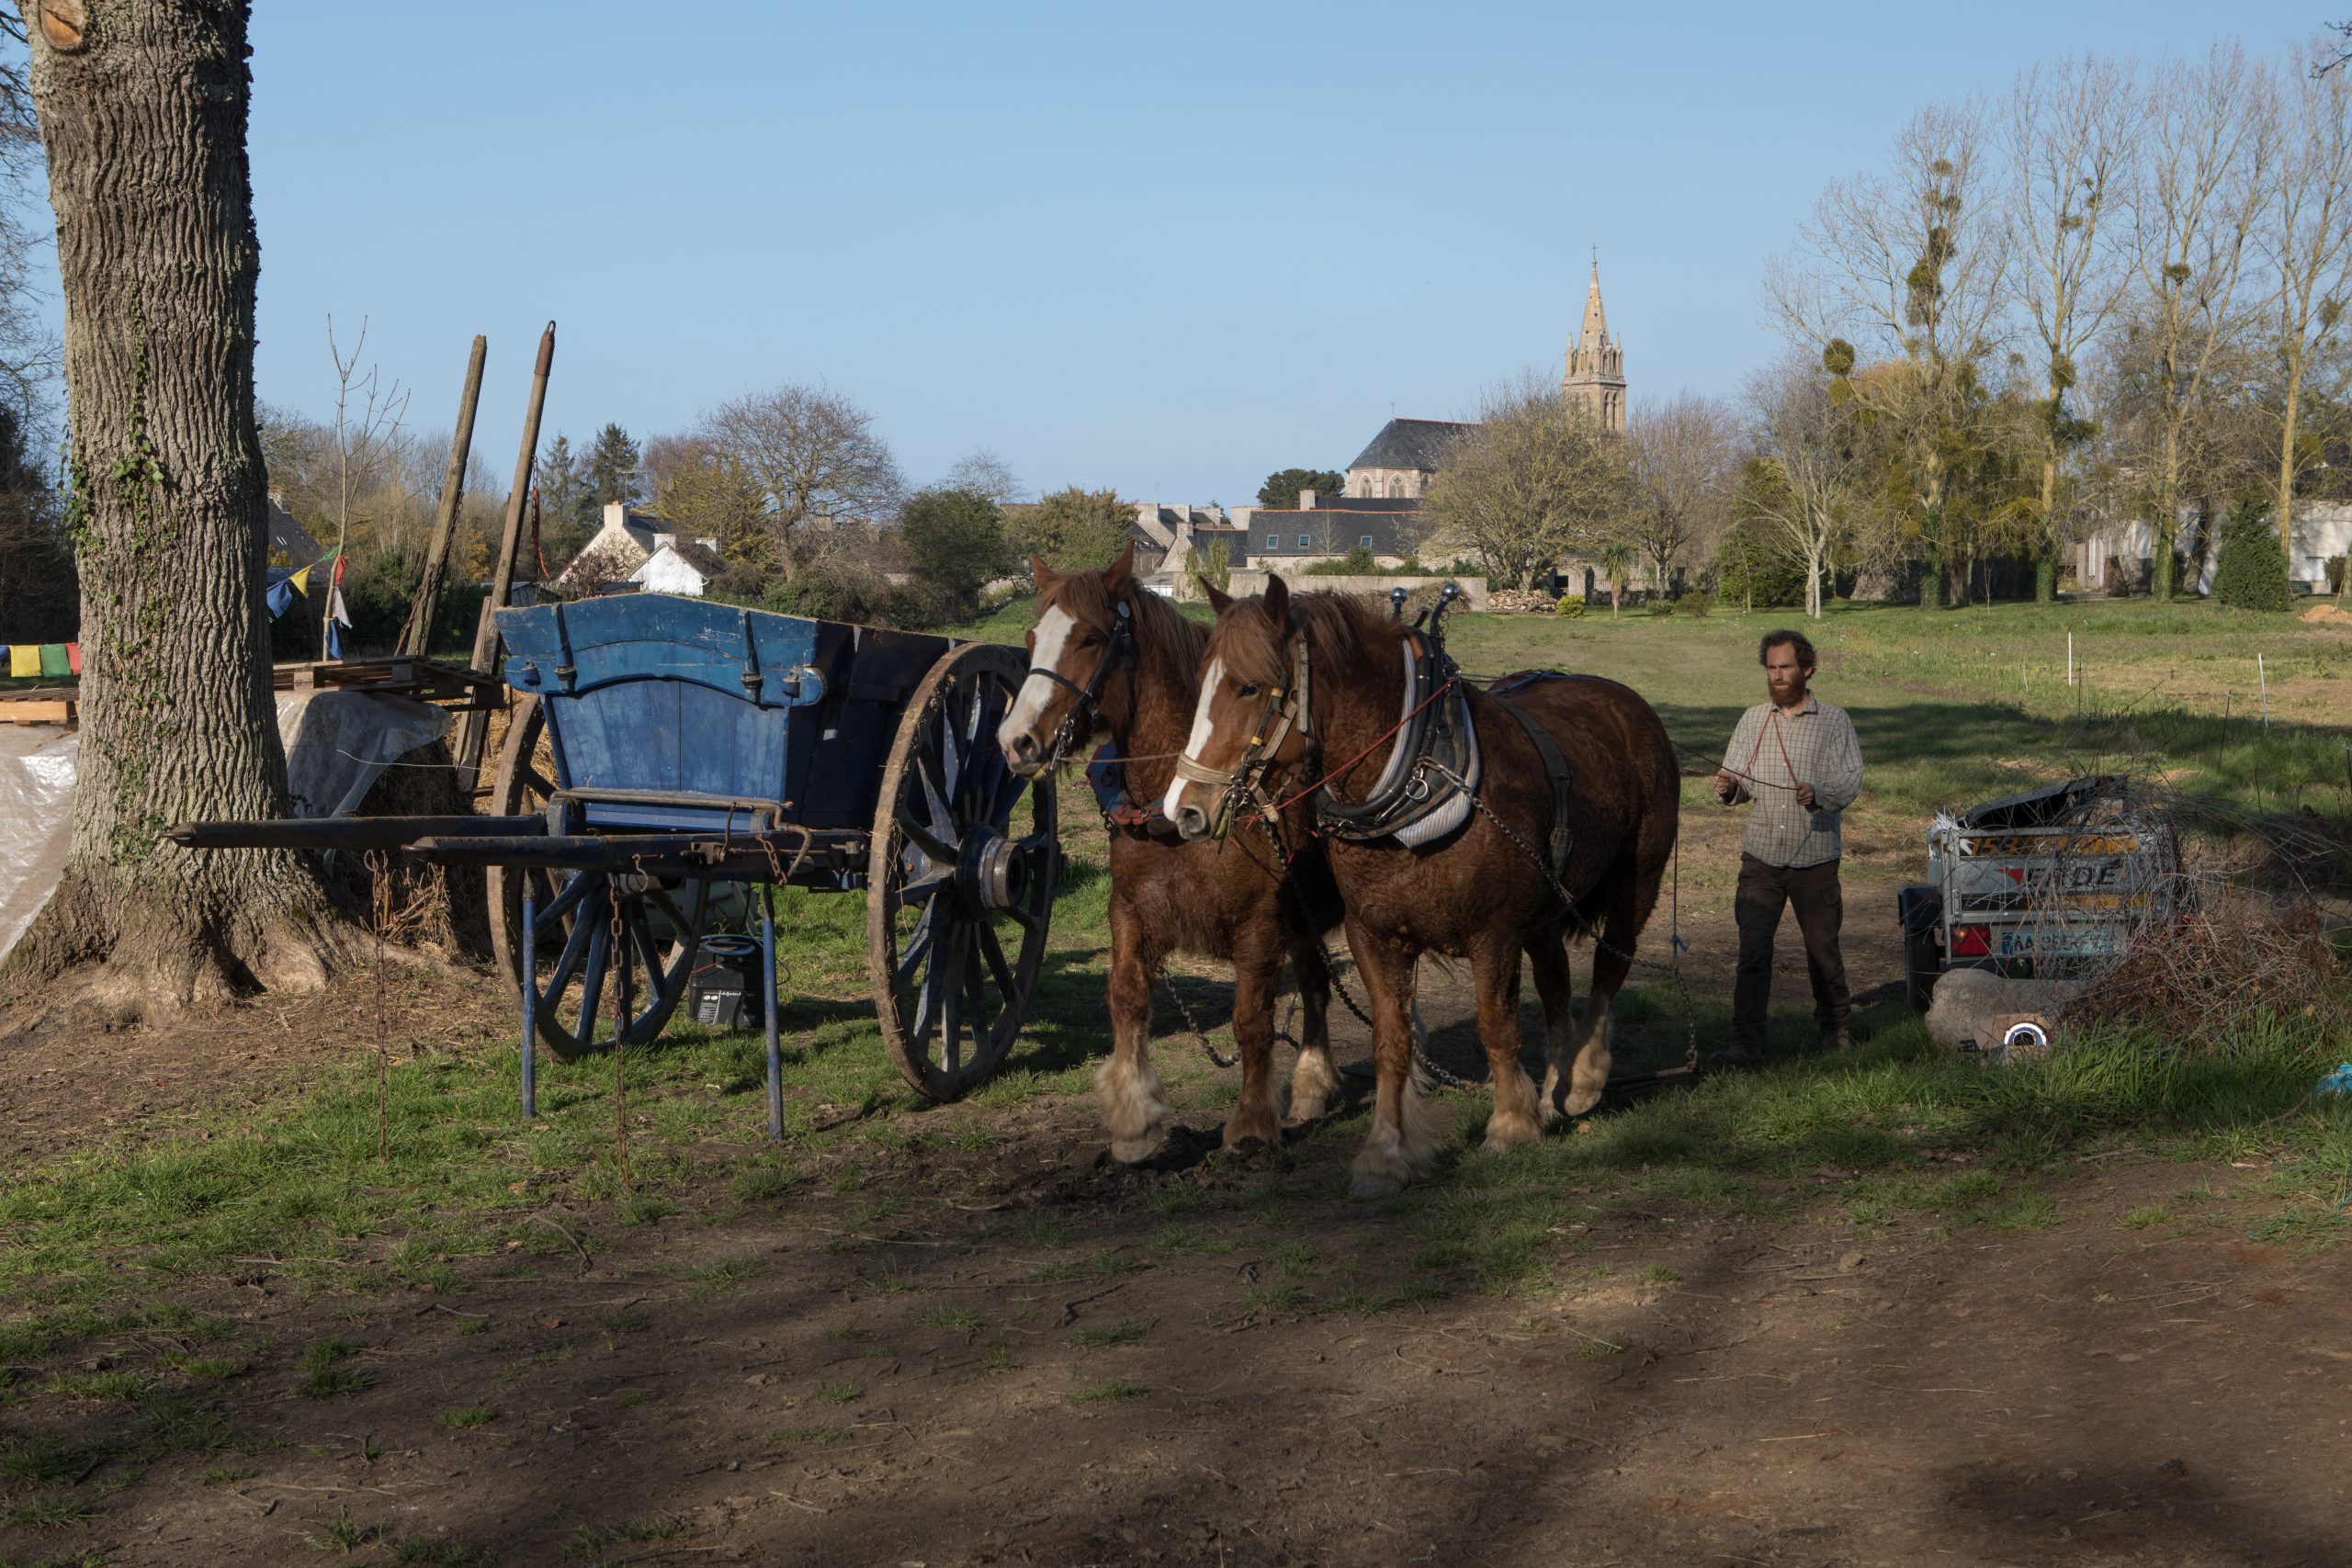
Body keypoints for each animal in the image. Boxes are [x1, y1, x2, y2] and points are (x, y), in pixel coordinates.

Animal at [997, 545, 1345, 1161]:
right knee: (1314, 984)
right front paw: (1135, 1119)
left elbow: (1250, 1021)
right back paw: (1311, 1085)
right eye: (1033, 635)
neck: (1173, 803)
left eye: (1090, 639)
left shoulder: (1260, 924)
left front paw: (1251, 1123)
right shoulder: (1130, 911)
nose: (1016, 742)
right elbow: (1127, 998)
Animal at [1166, 576, 1683, 1203]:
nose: (1185, 809)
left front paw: (1510, 1124)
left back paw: (1583, 1076)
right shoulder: (1375, 935)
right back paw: (1557, 1081)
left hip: (1638, 882)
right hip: (1544, 908)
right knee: (1556, 981)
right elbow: (1392, 1041)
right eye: (1202, 686)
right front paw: (1387, 1153)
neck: (1416, 771)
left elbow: (1496, 1024)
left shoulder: (1494, 932)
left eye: (1247, 687)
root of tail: (1629, 705)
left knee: (1612, 966)